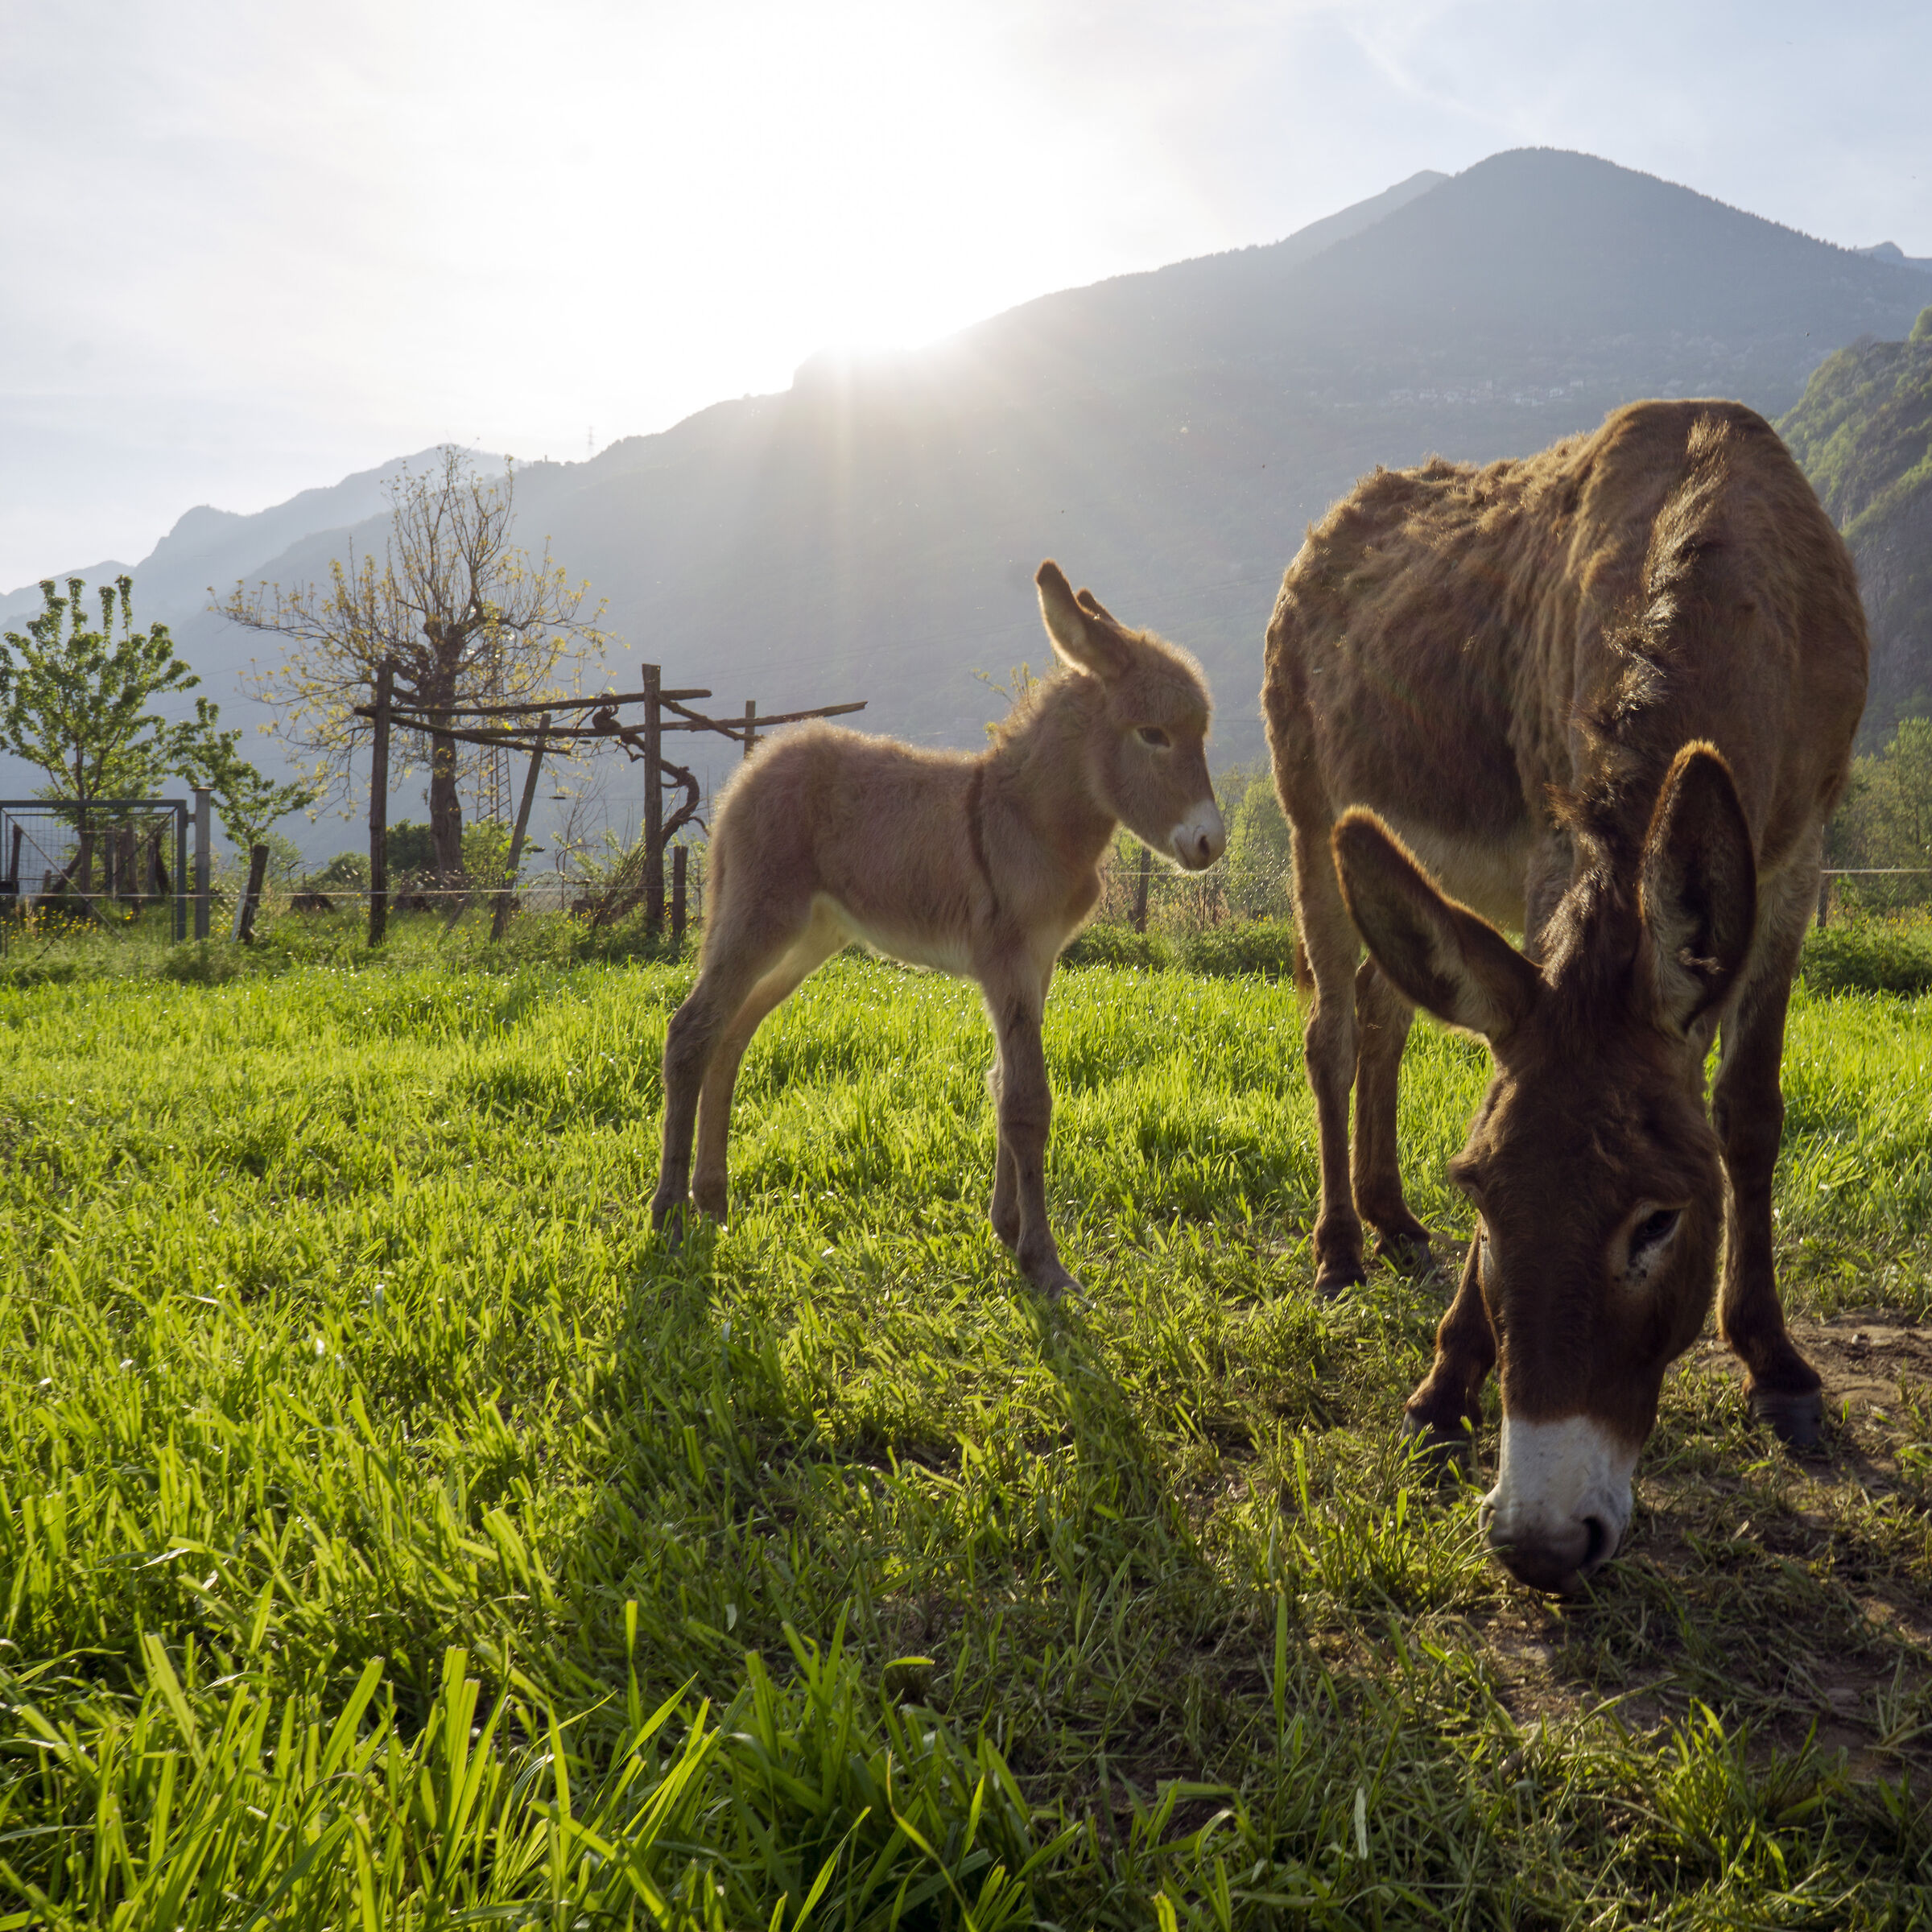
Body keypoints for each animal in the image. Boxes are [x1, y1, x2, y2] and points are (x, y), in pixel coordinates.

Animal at [649, 564, 1220, 1306]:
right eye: (1153, 734)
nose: (1211, 842)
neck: (1030, 819)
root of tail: (758, 764)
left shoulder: (1038, 964)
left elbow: (1004, 1083)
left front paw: (1008, 1227)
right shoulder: (1007, 962)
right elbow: (1028, 1101)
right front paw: (1043, 1264)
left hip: (807, 940)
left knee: (730, 1038)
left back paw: (713, 1200)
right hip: (758, 920)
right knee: (691, 1032)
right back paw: (668, 1215)